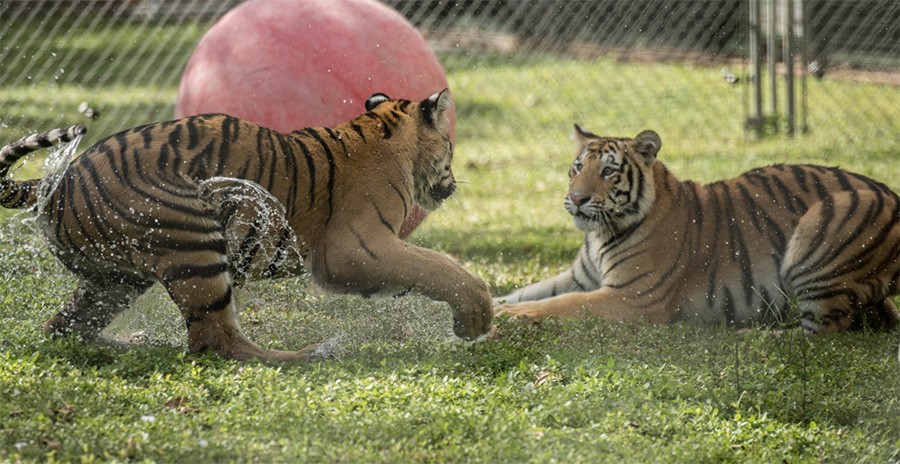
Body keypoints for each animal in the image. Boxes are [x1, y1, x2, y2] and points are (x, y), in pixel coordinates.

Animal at [0, 90, 494, 361]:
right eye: (450, 145)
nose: (452, 182)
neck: (379, 129)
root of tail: (59, 180)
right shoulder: (355, 249)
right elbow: (436, 267)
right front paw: (475, 319)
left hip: (115, 278)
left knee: (64, 326)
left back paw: (135, 343)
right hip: (194, 241)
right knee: (215, 342)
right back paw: (312, 354)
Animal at [495, 125, 899, 332]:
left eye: (608, 171)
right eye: (578, 167)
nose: (577, 198)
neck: (599, 235)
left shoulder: (631, 296)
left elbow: (557, 304)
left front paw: (507, 317)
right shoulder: (579, 278)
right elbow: (525, 292)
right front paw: (493, 305)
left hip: (827, 222)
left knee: (821, 331)